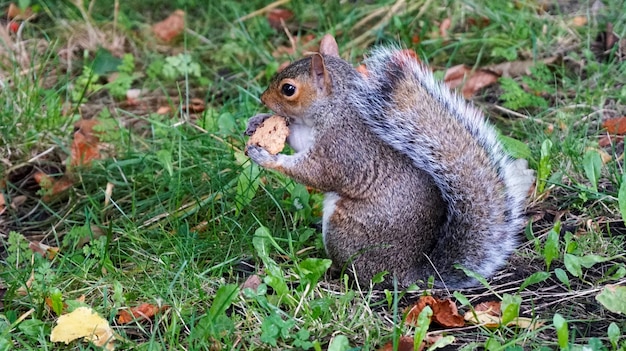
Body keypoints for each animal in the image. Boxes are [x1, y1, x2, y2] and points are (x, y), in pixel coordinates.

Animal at [244, 34, 532, 290]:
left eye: (288, 89)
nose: (262, 98)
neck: (335, 108)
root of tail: (408, 274)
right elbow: (295, 137)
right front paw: (258, 122)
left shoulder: (341, 149)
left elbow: (315, 173)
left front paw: (266, 156)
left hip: (347, 230)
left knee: (357, 273)